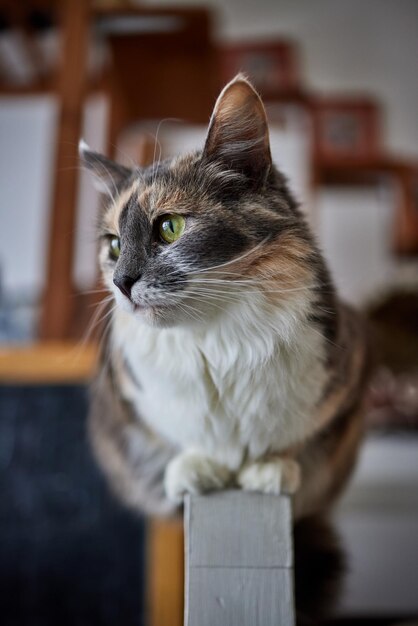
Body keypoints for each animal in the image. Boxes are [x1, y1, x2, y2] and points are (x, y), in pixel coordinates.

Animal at [81, 75, 370, 520]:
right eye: (113, 245)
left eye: (169, 227)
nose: (120, 282)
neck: (214, 340)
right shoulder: (123, 400)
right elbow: (175, 438)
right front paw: (197, 469)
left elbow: (295, 439)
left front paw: (270, 468)